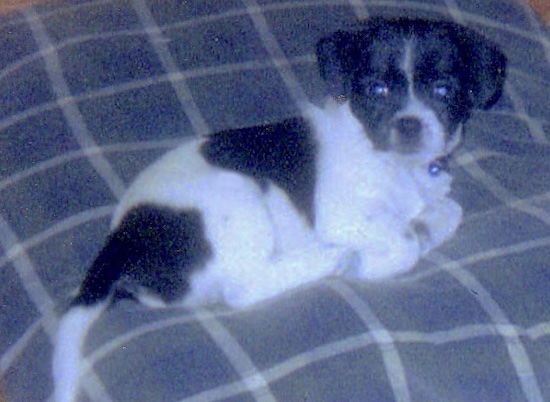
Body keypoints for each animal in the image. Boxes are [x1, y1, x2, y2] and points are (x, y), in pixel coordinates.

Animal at [52, 18, 508, 402]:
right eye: (376, 89)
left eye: (444, 90)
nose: (409, 124)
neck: (396, 164)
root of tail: (119, 240)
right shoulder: (340, 216)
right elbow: (402, 242)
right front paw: (381, 255)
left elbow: (449, 209)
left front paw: (426, 223)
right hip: (238, 195)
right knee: (242, 289)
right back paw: (328, 258)